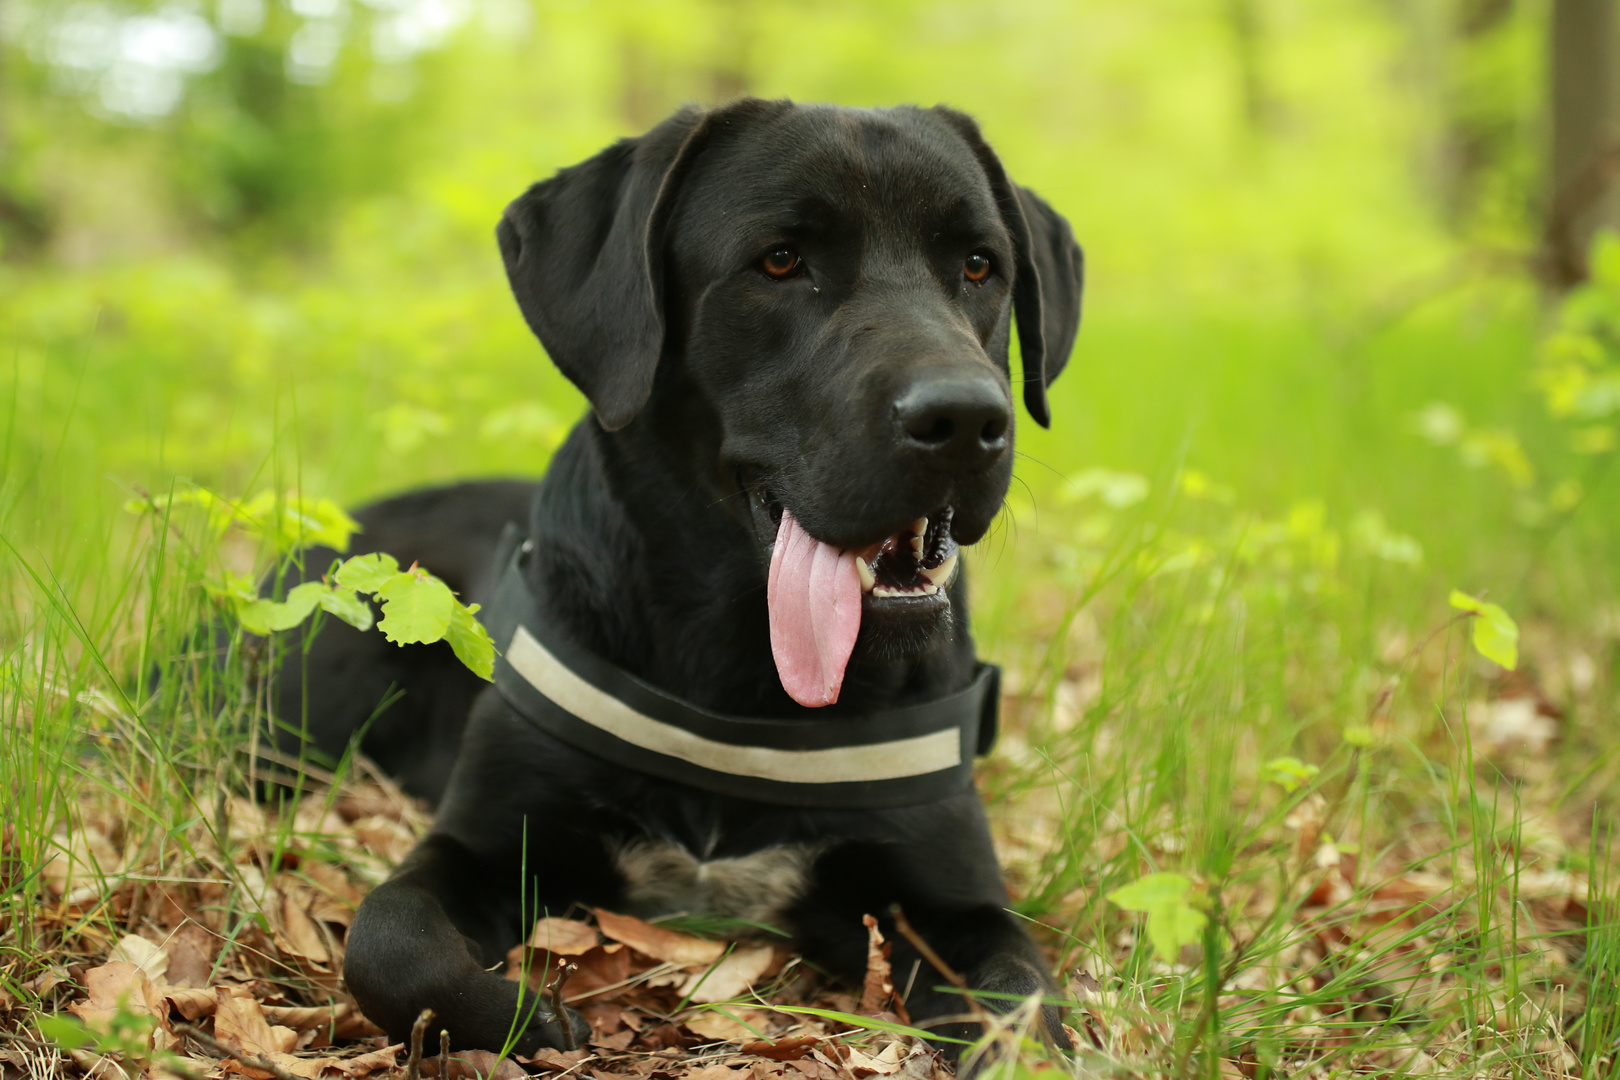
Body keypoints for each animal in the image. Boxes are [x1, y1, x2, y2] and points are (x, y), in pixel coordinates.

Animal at [272, 99, 1082, 1062]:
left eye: (978, 264)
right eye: (781, 260)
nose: (964, 418)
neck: (739, 676)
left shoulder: (953, 900)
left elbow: (1025, 1011)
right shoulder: (480, 842)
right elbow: (390, 939)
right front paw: (525, 1014)